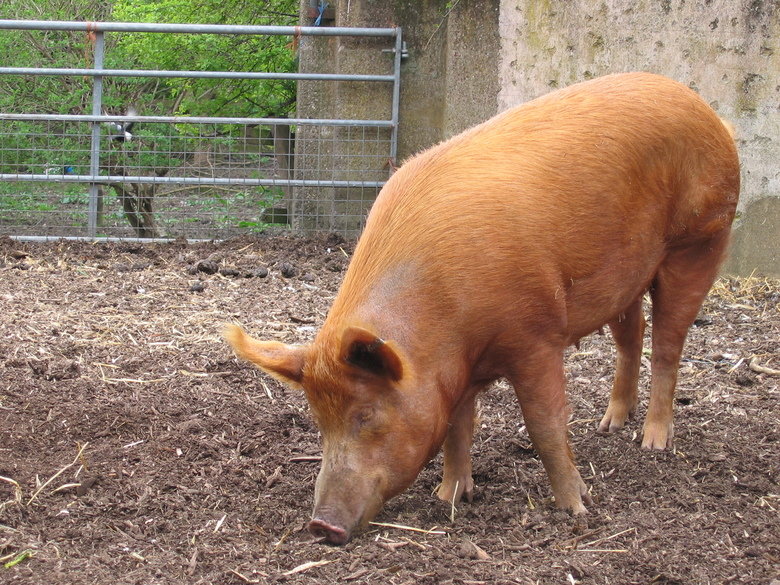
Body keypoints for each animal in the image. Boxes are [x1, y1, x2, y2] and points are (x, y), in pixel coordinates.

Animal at [224, 72, 740, 545]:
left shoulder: (536, 335)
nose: (321, 525)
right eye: (319, 420)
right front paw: (450, 497)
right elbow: (457, 426)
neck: (447, 329)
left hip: (700, 240)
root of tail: (705, 109)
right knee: (632, 335)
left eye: (366, 415)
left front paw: (576, 509)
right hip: (626, 276)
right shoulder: (457, 370)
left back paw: (652, 444)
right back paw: (610, 424)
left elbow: (544, 425)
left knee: (668, 343)